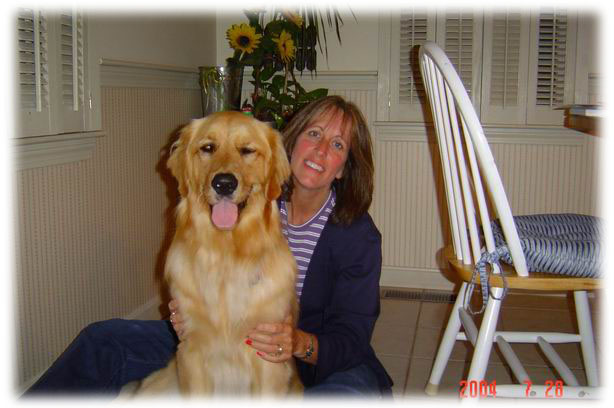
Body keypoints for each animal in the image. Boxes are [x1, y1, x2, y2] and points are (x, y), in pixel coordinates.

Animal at [136, 111, 301, 396]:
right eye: (208, 148)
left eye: (247, 150)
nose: (224, 183)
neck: (227, 256)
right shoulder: (191, 351)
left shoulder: (268, 357)